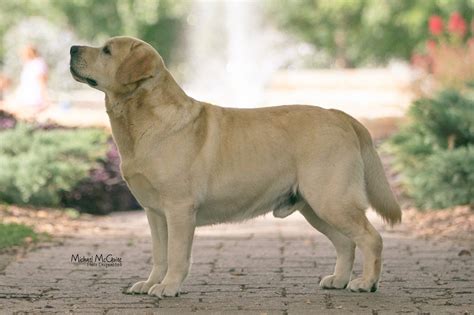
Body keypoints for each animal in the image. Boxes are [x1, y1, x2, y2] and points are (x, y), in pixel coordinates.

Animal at [69, 37, 400, 298]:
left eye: (107, 50)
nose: (71, 48)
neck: (142, 122)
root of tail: (341, 115)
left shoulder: (178, 209)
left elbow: (176, 255)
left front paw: (169, 287)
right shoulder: (154, 212)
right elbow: (159, 255)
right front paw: (151, 283)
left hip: (331, 200)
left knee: (371, 238)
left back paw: (366, 282)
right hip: (315, 207)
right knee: (346, 243)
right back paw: (339, 280)